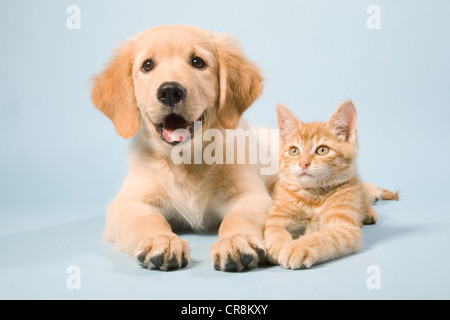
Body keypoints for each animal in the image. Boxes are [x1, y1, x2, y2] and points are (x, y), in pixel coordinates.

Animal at [91, 25, 270, 272]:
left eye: (198, 62)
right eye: (147, 65)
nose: (170, 91)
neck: (186, 161)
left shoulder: (251, 195)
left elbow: (238, 217)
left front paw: (235, 239)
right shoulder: (127, 204)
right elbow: (148, 219)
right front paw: (161, 240)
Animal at [264, 100, 398, 270]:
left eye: (322, 150)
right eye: (294, 151)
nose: (303, 163)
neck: (313, 195)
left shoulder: (345, 228)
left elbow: (324, 236)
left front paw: (297, 247)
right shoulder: (276, 217)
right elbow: (274, 231)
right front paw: (280, 245)